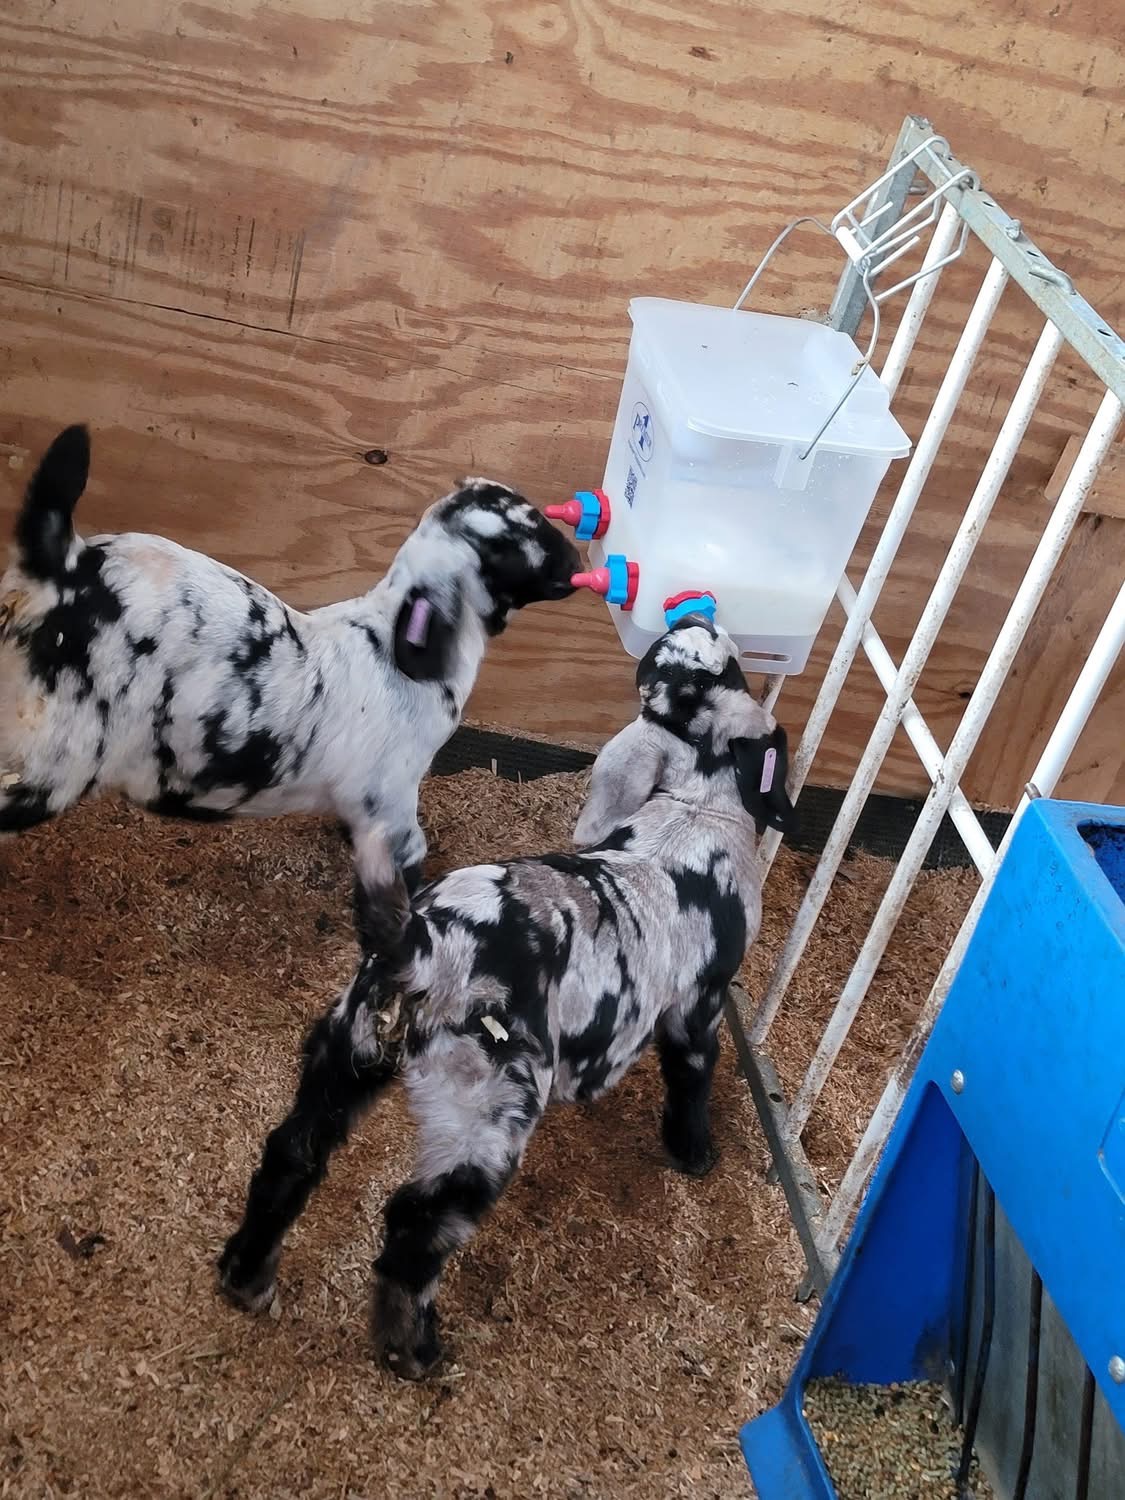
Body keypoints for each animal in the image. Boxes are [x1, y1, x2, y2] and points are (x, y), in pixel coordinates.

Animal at [0, 425, 579, 882]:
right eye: (505, 547)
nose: (575, 560)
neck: (390, 649)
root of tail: (65, 567)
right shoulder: (390, 802)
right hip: (55, 755)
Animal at [217, 611, 796, 1378]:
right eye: (729, 671)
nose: (693, 616)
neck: (690, 817)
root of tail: (424, 952)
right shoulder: (695, 1003)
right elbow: (691, 1077)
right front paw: (694, 1155)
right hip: (485, 1106)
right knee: (415, 1222)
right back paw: (413, 1351)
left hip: (348, 1044)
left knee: (293, 1152)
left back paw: (247, 1277)